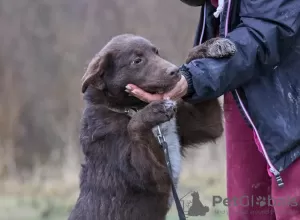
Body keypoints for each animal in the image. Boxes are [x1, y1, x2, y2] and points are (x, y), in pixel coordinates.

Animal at [69, 34, 236, 220]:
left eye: (156, 52)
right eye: (137, 61)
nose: (175, 71)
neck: (131, 108)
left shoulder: (206, 124)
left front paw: (211, 46)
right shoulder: (153, 176)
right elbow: (133, 126)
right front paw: (153, 110)